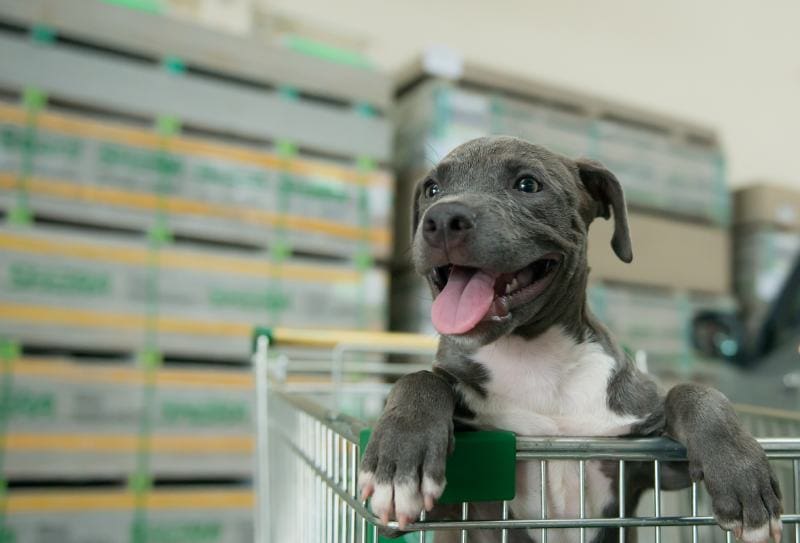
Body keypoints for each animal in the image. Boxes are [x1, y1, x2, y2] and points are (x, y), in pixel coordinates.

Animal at [360, 137, 784, 543]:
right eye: (432, 189)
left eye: (528, 185)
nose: (443, 218)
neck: (533, 356)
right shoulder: (446, 511)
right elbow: (420, 380)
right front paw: (399, 464)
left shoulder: (649, 462)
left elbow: (695, 393)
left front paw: (741, 474)